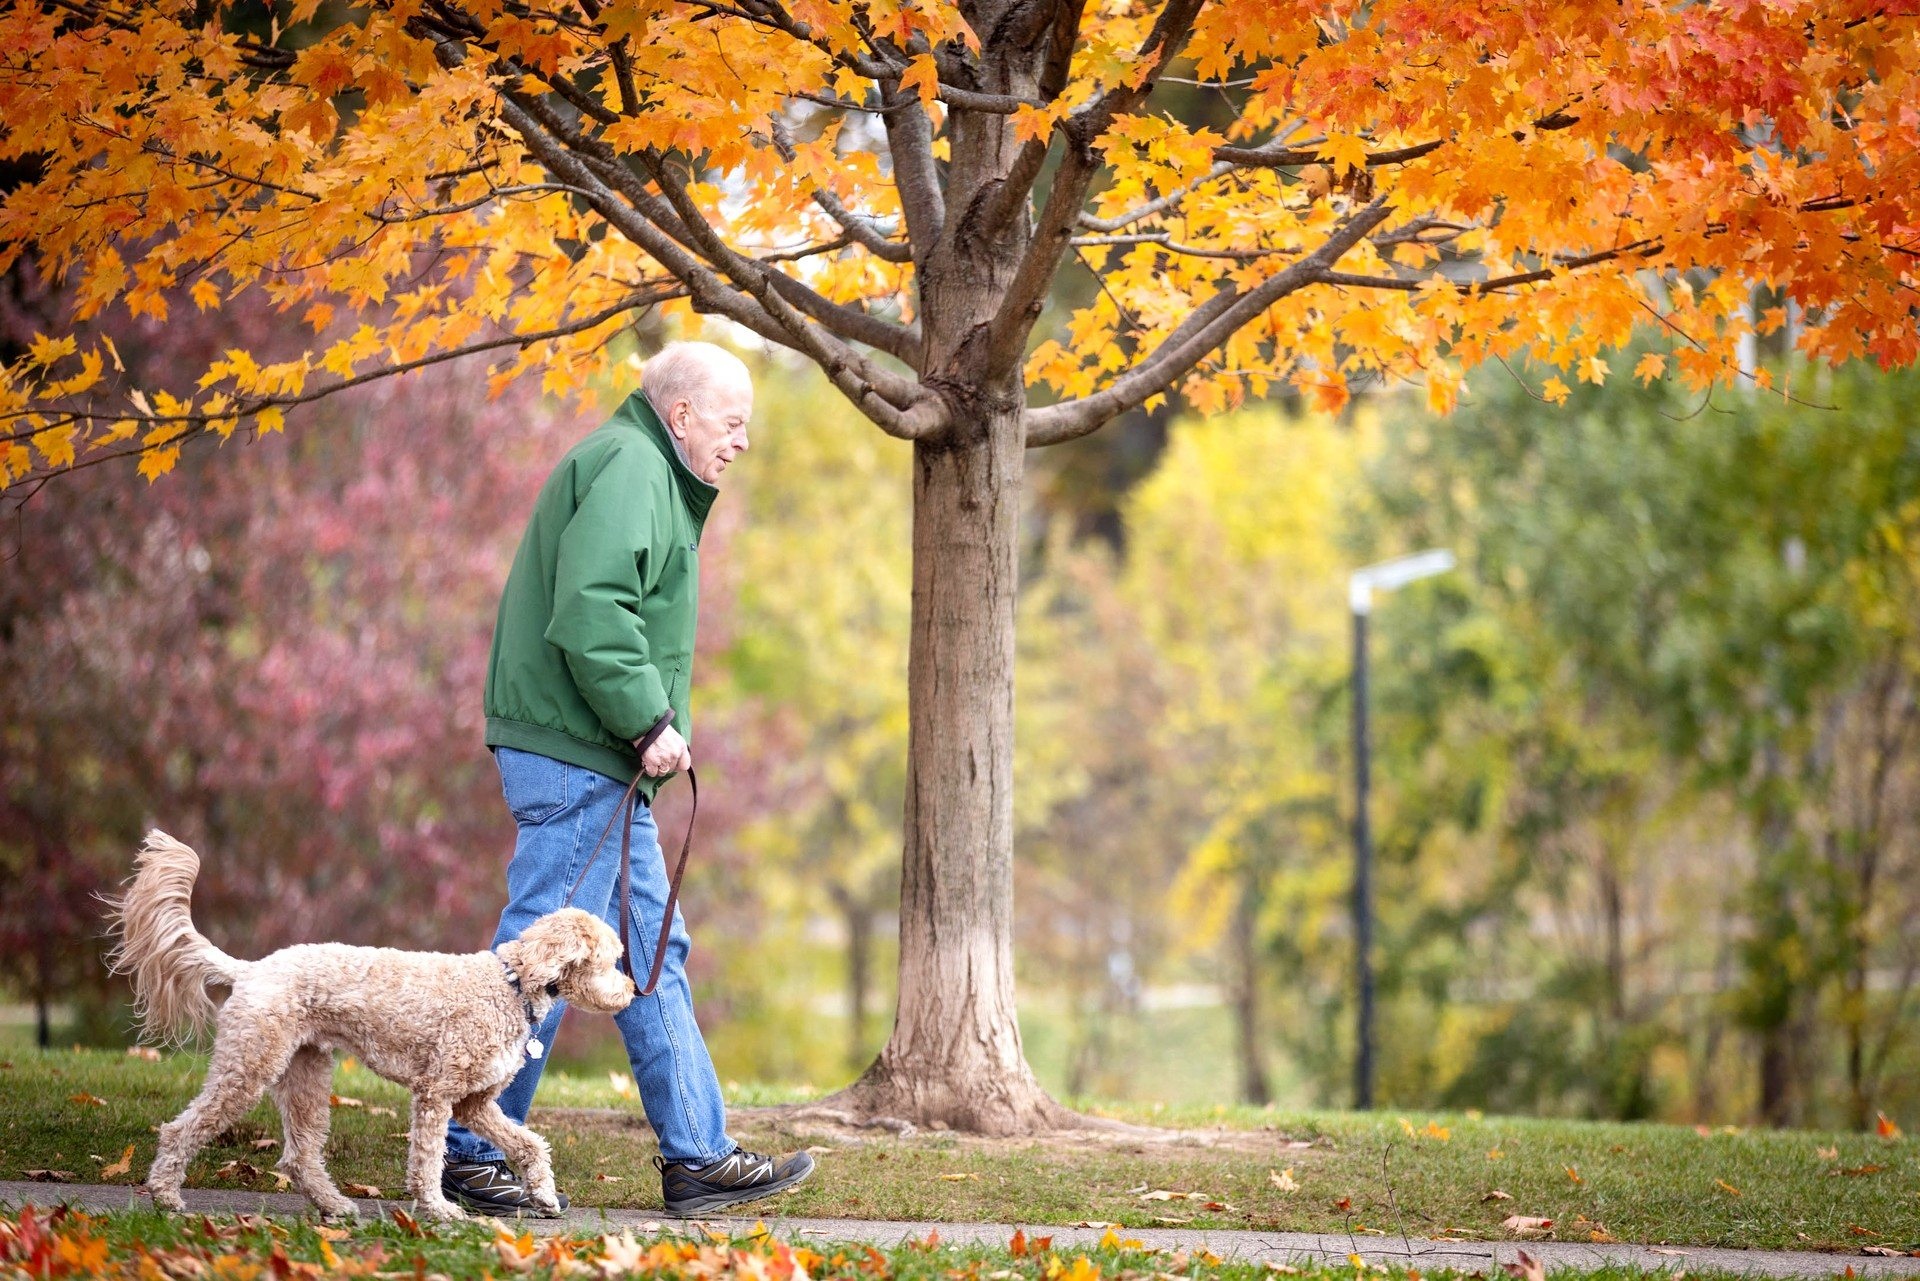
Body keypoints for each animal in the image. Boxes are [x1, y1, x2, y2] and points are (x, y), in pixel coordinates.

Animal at [107, 833, 637, 1221]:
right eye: (610, 960)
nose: (633, 989)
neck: (509, 986)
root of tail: (252, 970)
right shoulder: (436, 1094)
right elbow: (427, 1158)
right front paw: (439, 1210)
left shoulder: (475, 1102)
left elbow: (529, 1144)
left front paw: (543, 1194)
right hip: (249, 1065)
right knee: (182, 1129)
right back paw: (166, 1196)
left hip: (306, 1073)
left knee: (300, 1155)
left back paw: (335, 1205)